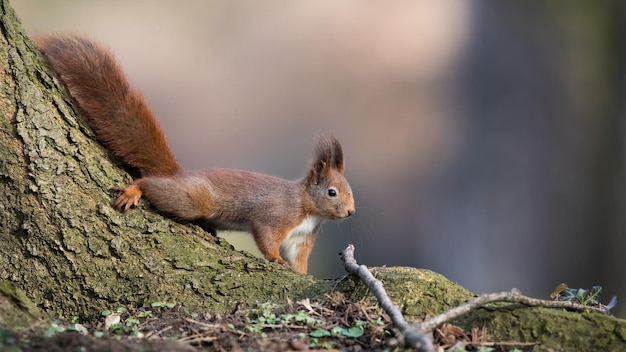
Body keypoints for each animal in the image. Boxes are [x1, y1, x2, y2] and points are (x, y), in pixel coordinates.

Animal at [35, 34, 356, 274]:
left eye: (348, 189)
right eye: (331, 192)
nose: (351, 212)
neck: (307, 209)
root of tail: (179, 174)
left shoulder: (301, 240)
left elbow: (299, 261)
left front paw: (303, 275)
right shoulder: (274, 216)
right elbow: (266, 239)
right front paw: (275, 259)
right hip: (194, 199)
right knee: (154, 185)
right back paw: (134, 190)